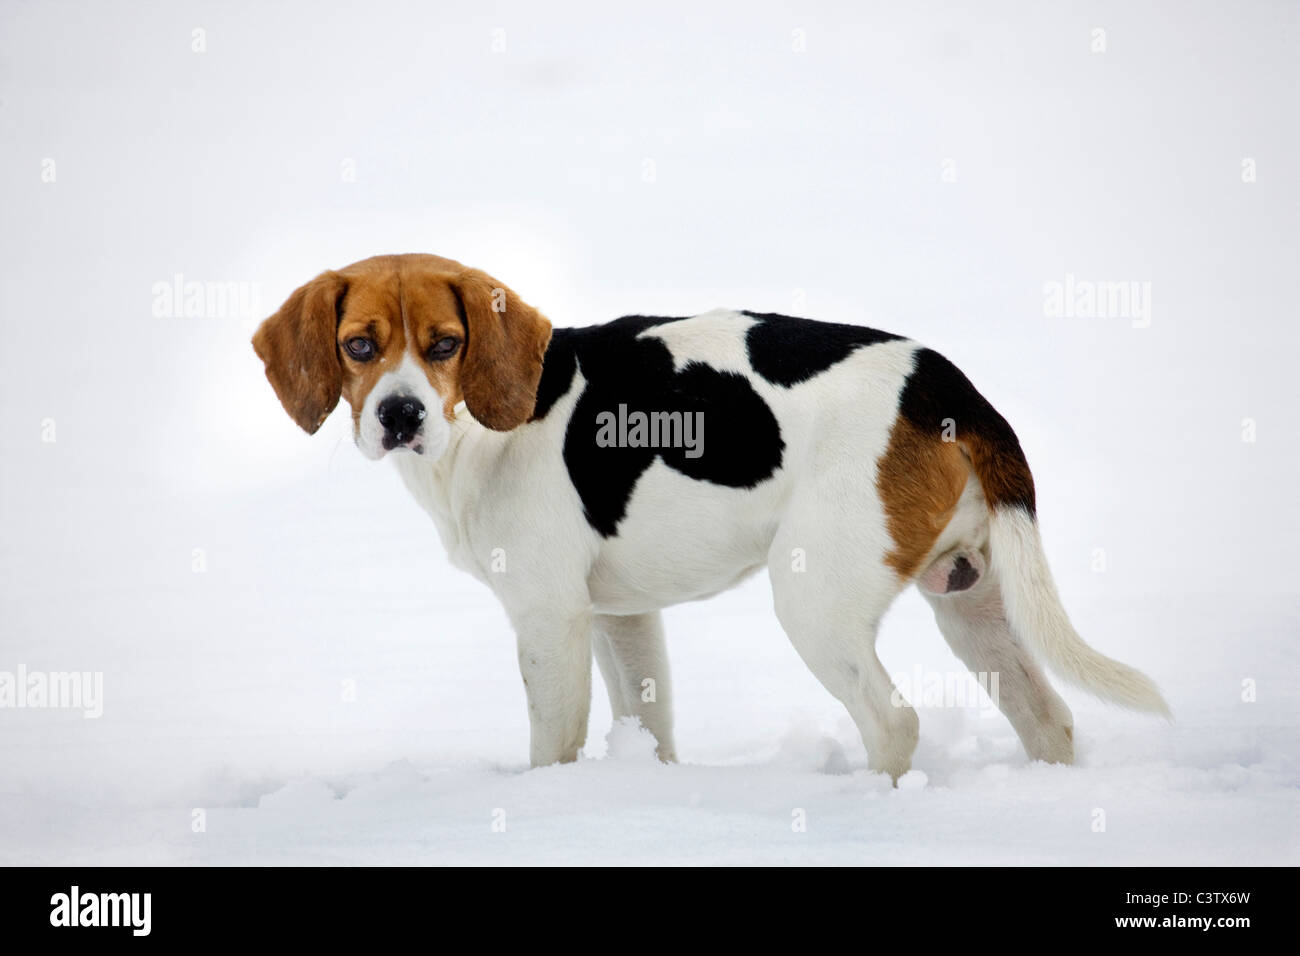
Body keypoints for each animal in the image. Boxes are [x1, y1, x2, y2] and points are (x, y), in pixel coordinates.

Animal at [250, 252, 1170, 780]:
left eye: (444, 344)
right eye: (360, 347)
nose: (399, 415)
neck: (482, 431)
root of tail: (948, 386)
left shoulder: (550, 620)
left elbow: (553, 745)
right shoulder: (621, 618)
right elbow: (648, 725)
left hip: (815, 602)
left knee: (895, 722)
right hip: (973, 602)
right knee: (1046, 717)